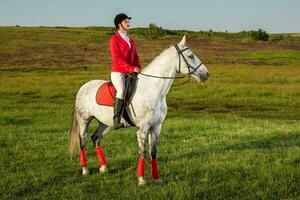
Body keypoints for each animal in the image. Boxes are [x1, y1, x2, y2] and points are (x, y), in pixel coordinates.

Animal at [68, 35, 209, 185]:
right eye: (190, 56)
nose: (206, 74)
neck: (153, 90)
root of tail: (84, 86)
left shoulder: (156, 126)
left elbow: (153, 152)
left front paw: (157, 178)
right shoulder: (142, 127)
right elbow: (142, 152)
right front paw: (141, 180)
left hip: (105, 123)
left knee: (96, 138)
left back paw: (103, 167)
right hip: (84, 120)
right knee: (83, 141)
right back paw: (85, 170)